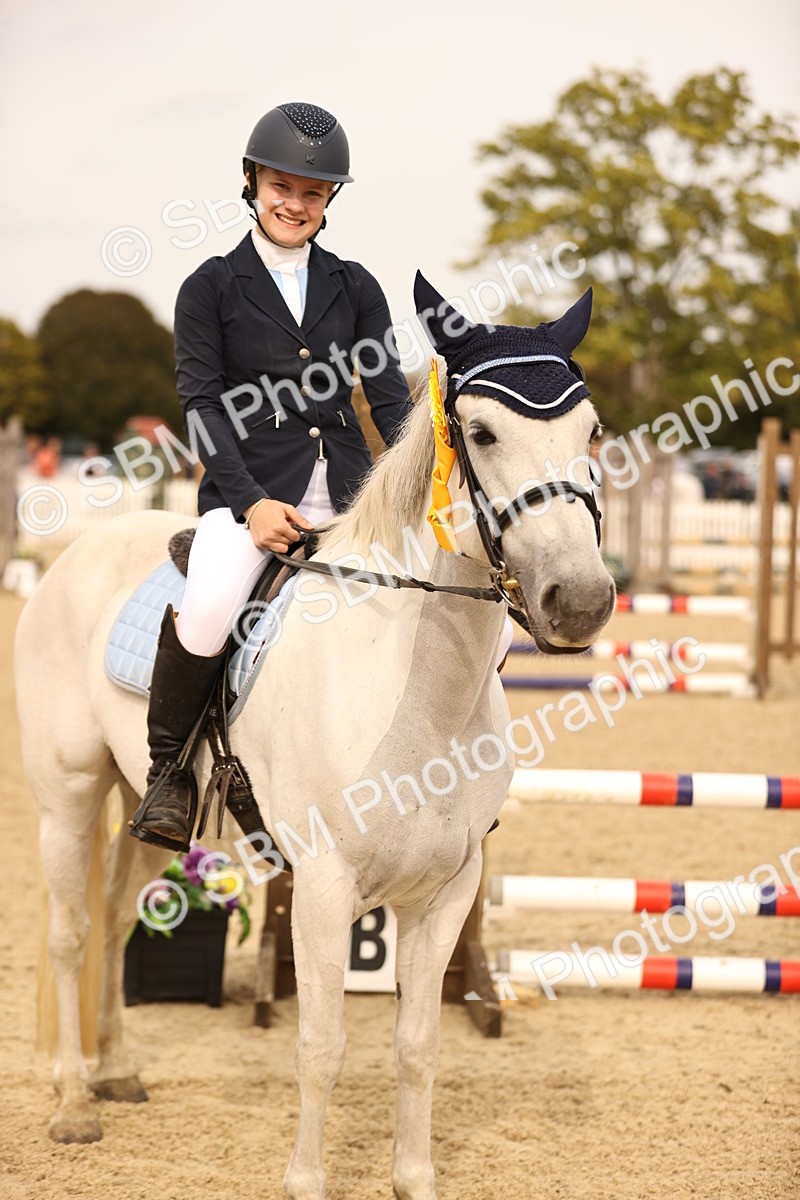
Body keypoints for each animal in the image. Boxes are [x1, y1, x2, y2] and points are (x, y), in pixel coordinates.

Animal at [15, 278, 615, 1199]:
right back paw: (76, 1101)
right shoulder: (327, 889)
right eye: (482, 434)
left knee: (118, 915)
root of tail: (76, 553)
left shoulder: (447, 892)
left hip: (147, 806)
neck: (417, 686)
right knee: (71, 931)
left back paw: (115, 1073)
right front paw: (305, 1180)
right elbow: (321, 1046)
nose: (579, 602)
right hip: (69, 796)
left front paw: (414, 1180)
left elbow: (418, 1045)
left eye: (590, 431)